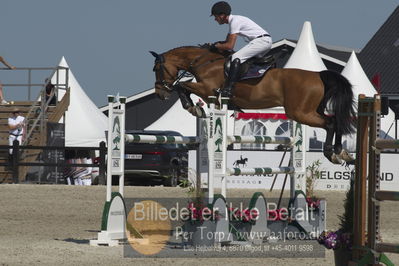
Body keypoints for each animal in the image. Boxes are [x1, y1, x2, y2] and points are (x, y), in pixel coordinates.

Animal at [150, 45, 356, 164]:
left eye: (156, 69)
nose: (160, 94)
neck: (204, 62)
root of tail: (319, 75)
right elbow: (183, 87)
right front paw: (195, 108)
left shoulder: (207, 90)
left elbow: (182, 86)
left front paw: (193, 107)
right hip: (311, 110)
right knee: (336, 120)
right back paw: (341, 152)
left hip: (300, 113)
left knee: (330, 123)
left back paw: (331, 153)